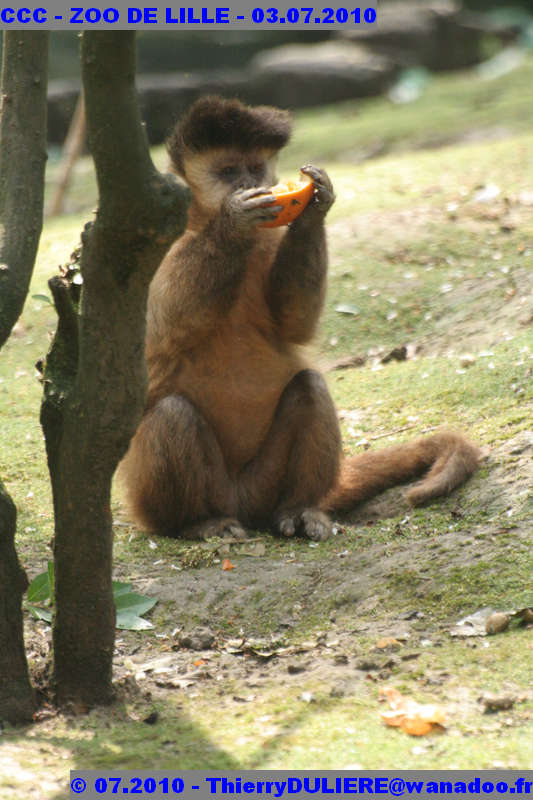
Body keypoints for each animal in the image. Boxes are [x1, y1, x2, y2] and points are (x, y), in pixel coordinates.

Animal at [120, 95, 478, 544]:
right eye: (228, 172)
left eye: (254, 168)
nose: (244, 186)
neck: (202, 220)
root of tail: (240, 502)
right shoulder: (151, 228)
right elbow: (159, 327)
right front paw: (234, 221)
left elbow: (294, 326)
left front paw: (314, 207)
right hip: (161, 499)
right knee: (172, 413)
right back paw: (196, 522)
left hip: (263, 486)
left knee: (309, 387)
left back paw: (298, 508)